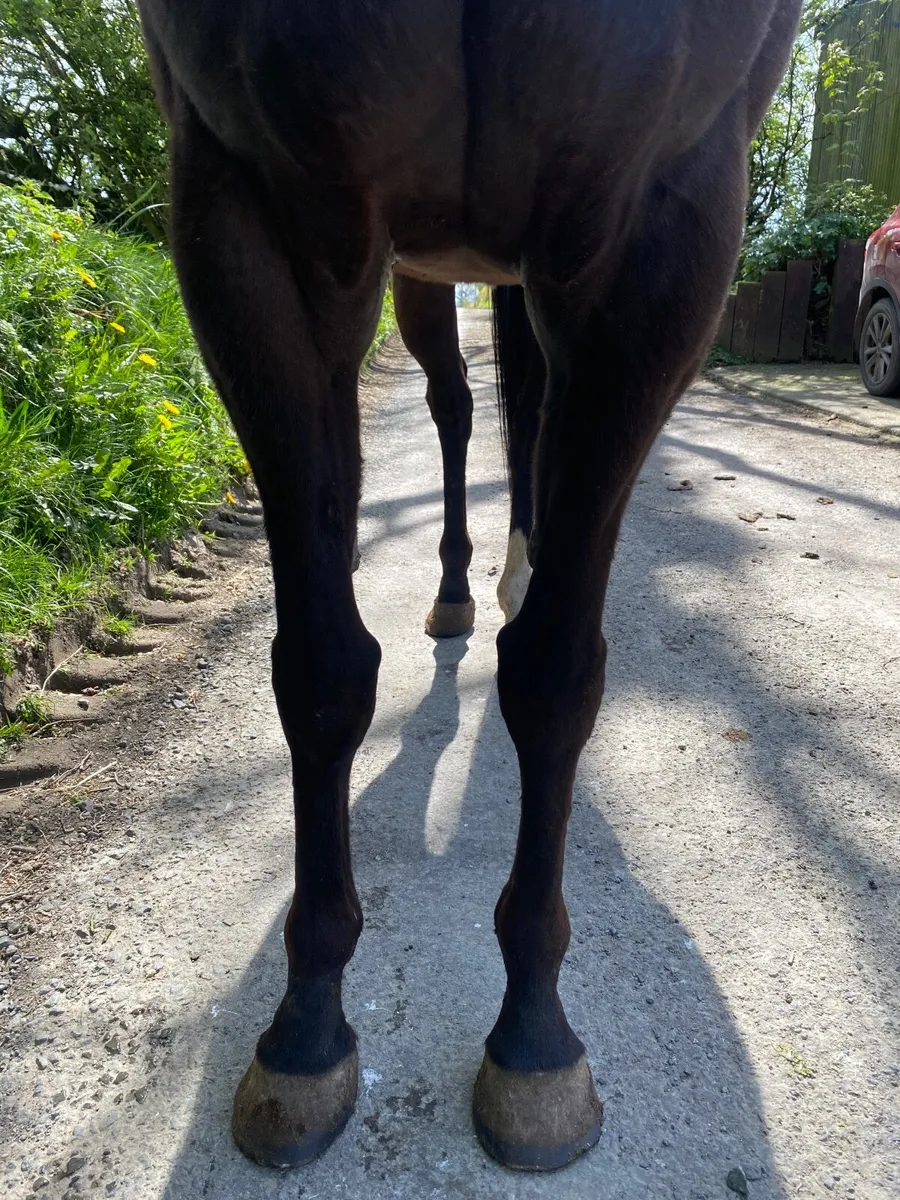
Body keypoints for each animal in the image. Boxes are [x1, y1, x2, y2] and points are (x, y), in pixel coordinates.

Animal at [137, 0, 802, 1172]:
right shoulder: (251, 209)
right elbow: (322, 671)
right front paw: (306, 1029)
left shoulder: (663, 222)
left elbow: (555, 676)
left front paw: (535, 1038)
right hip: (423, 261)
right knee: (455, 404)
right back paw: (456, 583)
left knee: (523, 409)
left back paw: (515, 569)